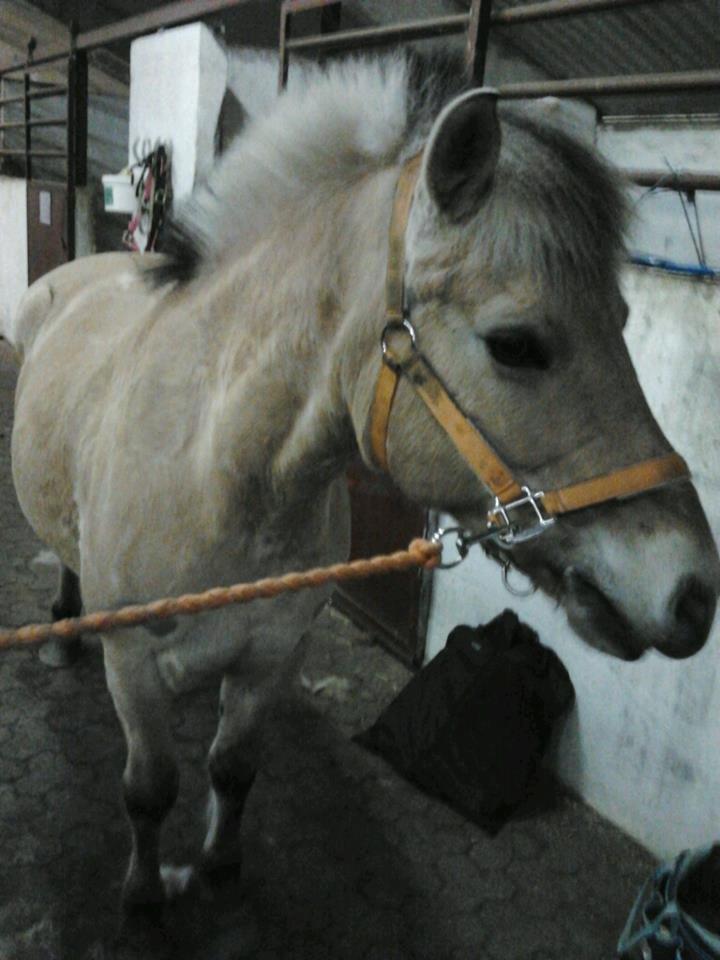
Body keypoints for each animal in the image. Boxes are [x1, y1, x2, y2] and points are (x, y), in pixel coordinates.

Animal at [5, 51, 718, 909]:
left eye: (622, 318)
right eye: (515, 344)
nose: (694, 593)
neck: (217, 476)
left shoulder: (274, 659)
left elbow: (232, 770)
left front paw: (221, 865)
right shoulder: (134, 672)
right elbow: (149, 792)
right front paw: (145, 899)